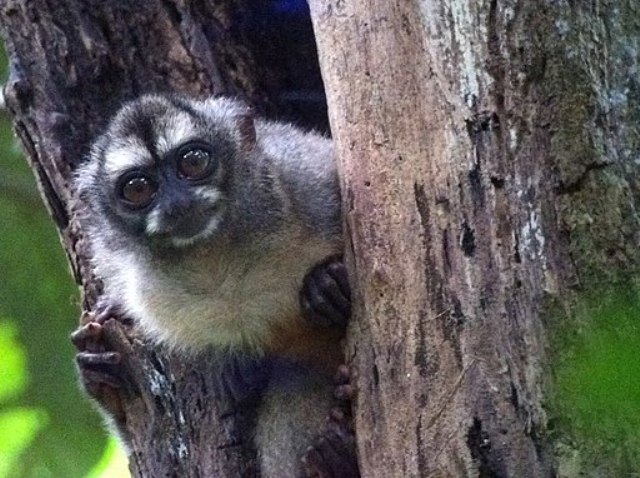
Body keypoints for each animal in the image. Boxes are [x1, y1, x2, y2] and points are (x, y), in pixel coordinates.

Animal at [71, 94, 358, 477]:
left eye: (193, 161)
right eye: (137, 188)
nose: (178, 203)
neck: (215, 255)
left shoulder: (305, 178)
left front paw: (325, 286)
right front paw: (100, 370)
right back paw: (334, 455)